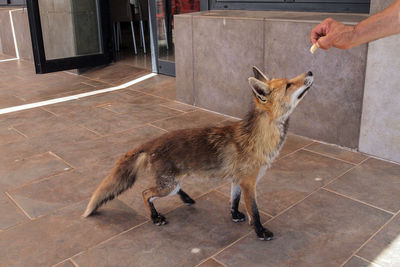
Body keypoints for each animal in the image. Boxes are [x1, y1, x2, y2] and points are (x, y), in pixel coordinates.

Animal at [83, 66, 314, 241]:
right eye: (289, 84)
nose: (311, 71)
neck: (257, 137)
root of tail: (153, 141)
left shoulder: (237, 180)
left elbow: (234, 200)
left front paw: (235, 215)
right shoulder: (249, 182)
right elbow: (255, 212)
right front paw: (260, 232)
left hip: (173, 183)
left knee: (168, 191)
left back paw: (186, 198)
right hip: (167, 185)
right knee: (145, 193)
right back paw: (156, 217)